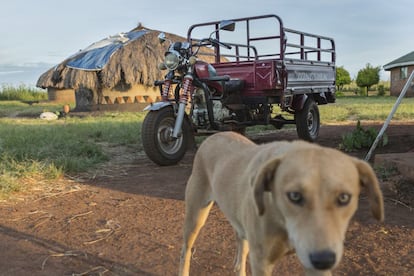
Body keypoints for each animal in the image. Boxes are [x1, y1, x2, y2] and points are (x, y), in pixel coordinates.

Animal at [180, 132, 384, 276]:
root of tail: (212, 136)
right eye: (294, 196)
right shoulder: (262, 263)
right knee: (185, 251)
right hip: (196, 217)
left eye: (344, 198)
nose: (324, 259)